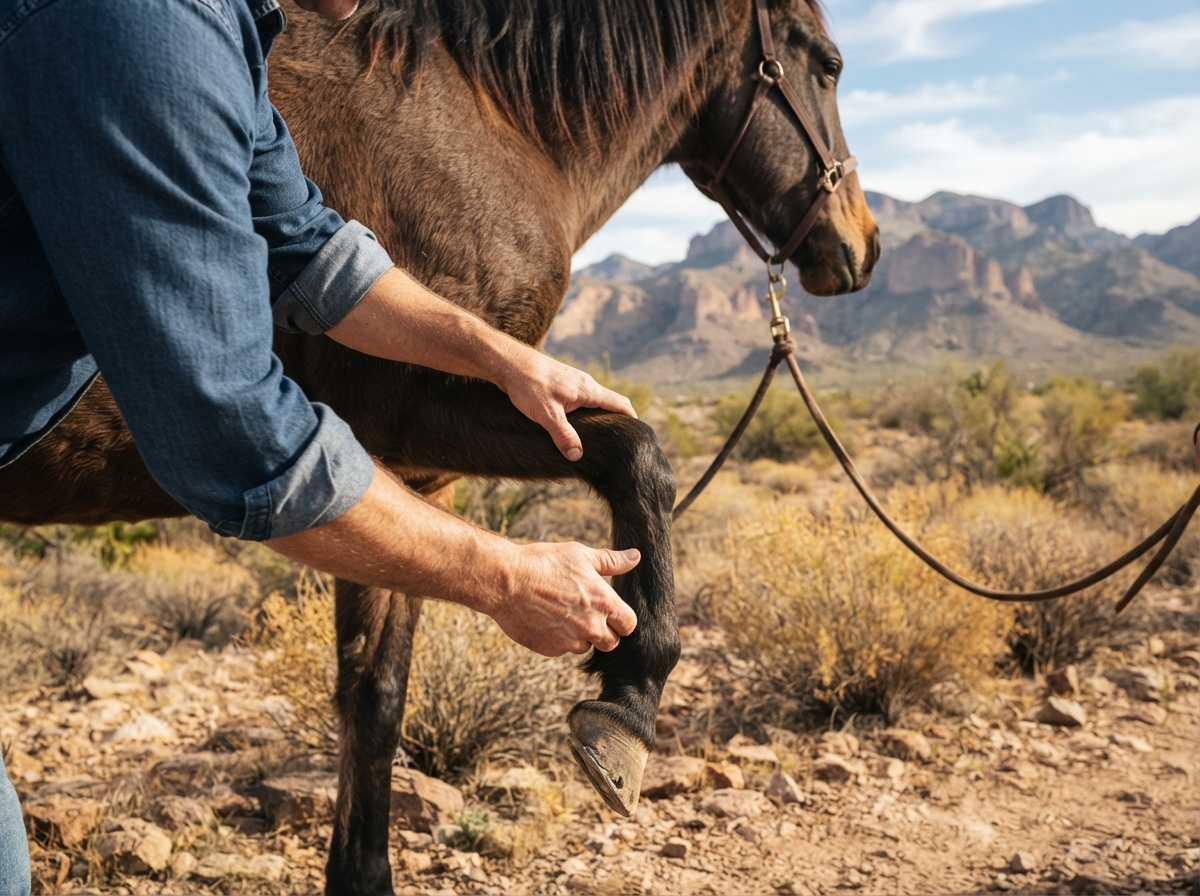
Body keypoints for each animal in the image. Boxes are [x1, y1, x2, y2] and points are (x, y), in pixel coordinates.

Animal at [0, 0, 879, 891]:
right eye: (830, 64)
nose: (864, 245)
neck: (497, 125)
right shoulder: (395, 420)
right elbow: (638, 456)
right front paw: (630, 697)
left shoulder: (414, 477)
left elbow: (376, 693)